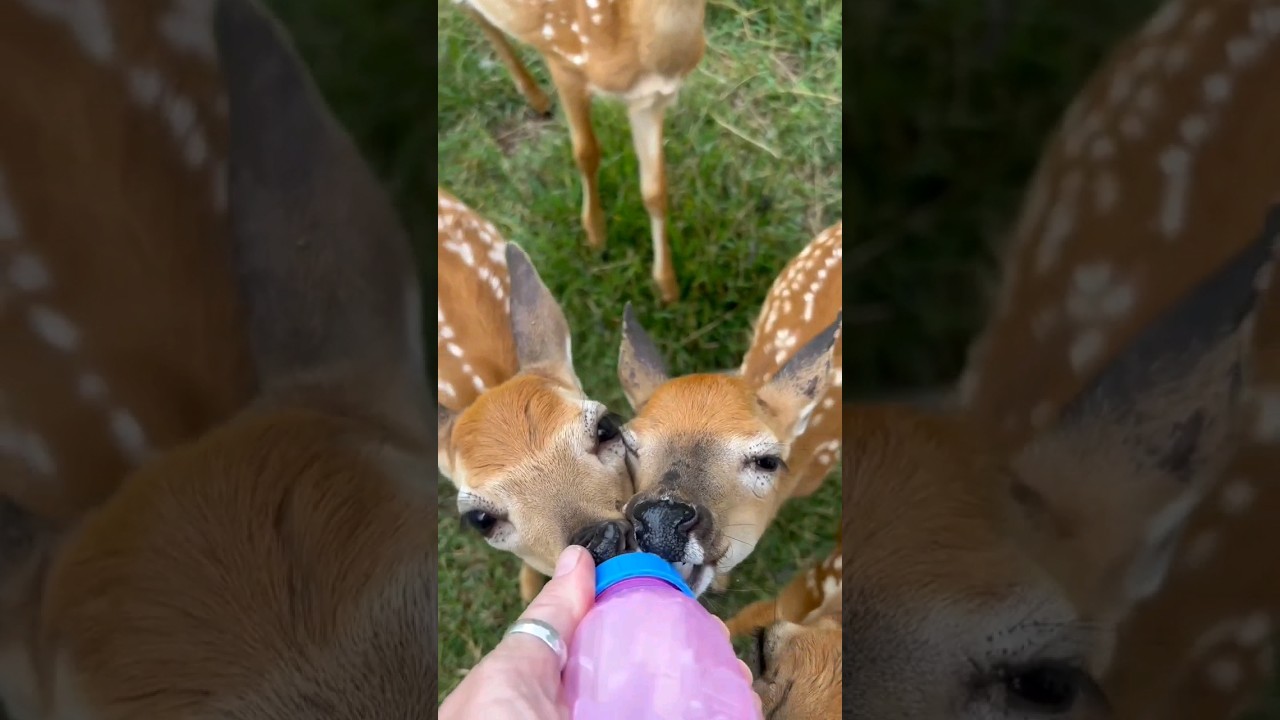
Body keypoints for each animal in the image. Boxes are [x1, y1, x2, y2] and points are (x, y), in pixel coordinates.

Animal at [453, 0, 709, 304]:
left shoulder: (649, 101)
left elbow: (655, 191)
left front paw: (667, 287)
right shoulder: (563, 61)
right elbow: (586, 152)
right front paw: (595, 234)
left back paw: (537, 98)